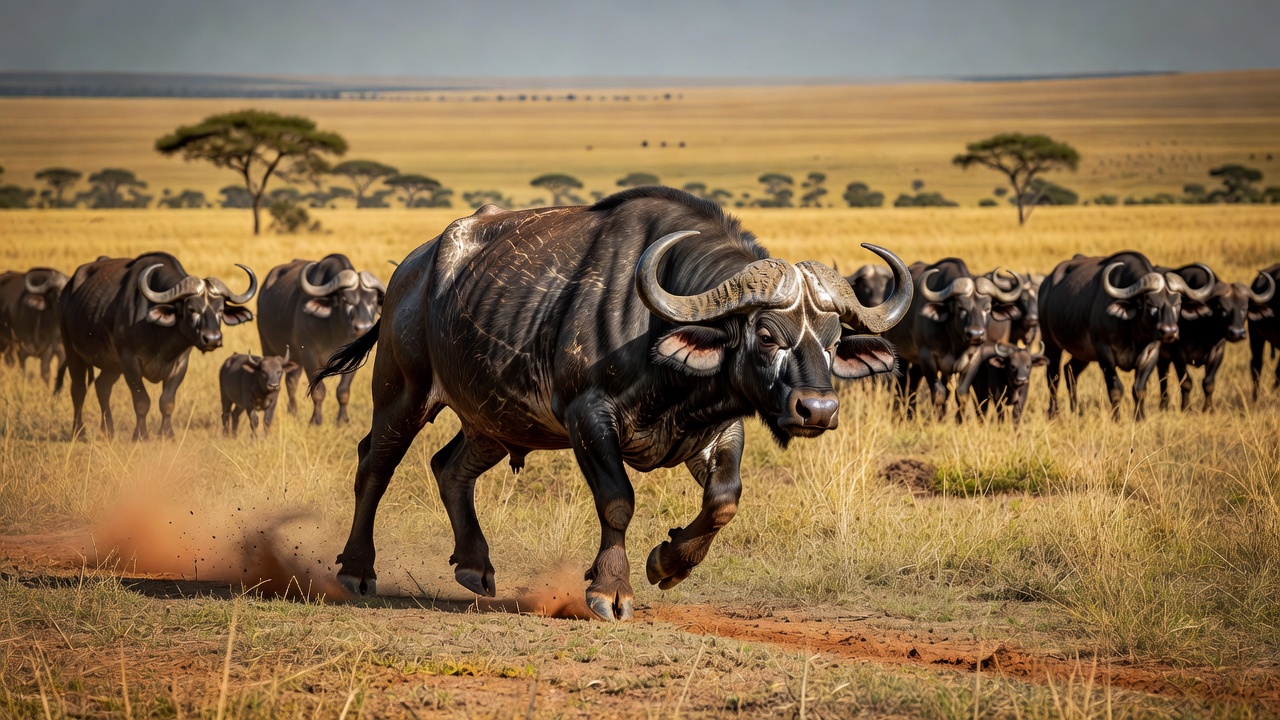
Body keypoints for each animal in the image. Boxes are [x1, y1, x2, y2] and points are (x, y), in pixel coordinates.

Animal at [56, 253, 256, 440]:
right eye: (191, 309)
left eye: (220, 309)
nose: (213, 338)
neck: (159, 334)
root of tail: (69, 288)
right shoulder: (129, 361)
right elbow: (141, 400)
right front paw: (140, 436)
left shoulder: (180, 364)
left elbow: (167, 402)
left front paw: (167, 435)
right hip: (72, 350)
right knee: (78, 389)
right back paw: (79, 431)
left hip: (112, 366)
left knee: (102, 386)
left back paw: (108, 431)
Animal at [257, 255, 384, 426]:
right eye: (346, 299)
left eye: (373, 301)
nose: (363, 327)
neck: (335, 332)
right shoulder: (309, 357)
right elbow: (318, 390)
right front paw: (316, 421)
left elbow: (343, 391)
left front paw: (342, 420)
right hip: (268, 347)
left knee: (291, 381)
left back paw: (292, 411)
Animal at [313, 187, 912, 620]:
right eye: (766, 335)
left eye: (832, 340)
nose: (817, 410)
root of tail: (408, 272)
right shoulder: (589, 417)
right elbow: (617, 501)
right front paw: (611, 589)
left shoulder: (718, 429)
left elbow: (724, 501)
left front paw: (669, 563)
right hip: (403, 394)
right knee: (374, 466)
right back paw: (357, 569)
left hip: (496, 420)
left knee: (449, 467)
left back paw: (475, 565)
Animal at [1039, 252, 1213, 421]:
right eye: (1150, 303)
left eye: (1177, 303)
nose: (1169, 331)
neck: (1133, 334)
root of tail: (1046, 284)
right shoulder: (1105, 354)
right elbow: (1116, 389)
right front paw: (1116, 418)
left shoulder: (1151, 355)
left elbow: (1139, 389)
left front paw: (1140, 418)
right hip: (1051, 344)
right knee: (1053, 377)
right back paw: (1053, 412)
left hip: (1083, 353)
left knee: (1070, 371)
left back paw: (1075, 410)